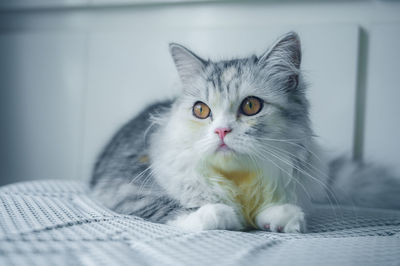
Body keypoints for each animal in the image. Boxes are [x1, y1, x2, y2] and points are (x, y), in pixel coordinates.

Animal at [90, 31, 400, 233]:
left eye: (251, 106)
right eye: (200, 110)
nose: (221, 131)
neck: (238, 178)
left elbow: (276, 207)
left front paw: (280, 217)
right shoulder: (127, 193)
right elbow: (175, 207)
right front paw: (226, 214)